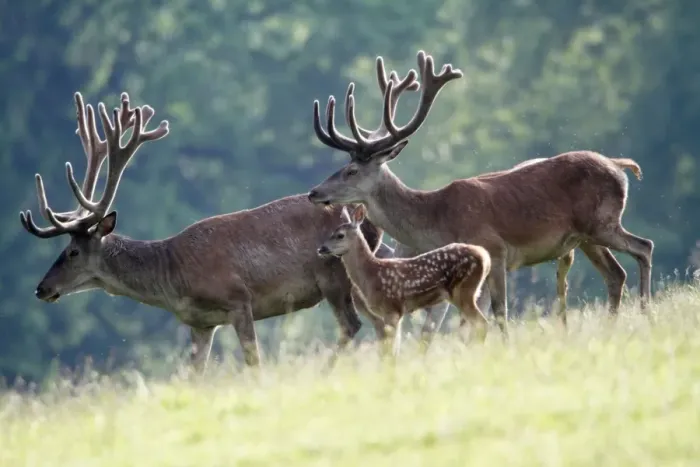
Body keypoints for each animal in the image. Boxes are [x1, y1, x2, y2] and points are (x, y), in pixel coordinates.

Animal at [19, 91, 398, 373]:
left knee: (353, 325)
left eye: (73, 251)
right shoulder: (199, 324)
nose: (41, 288)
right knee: (382, 324)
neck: (173, 278)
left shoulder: (239, 298)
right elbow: (194, 375)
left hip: (334, 274)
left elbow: (254, 362)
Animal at [307, 50, 654, 337]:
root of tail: (618, 166)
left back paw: (645, 312)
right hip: (586, 237)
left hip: (603, 221)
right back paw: (613, 325)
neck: (437, 221)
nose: (313, 192)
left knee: (644, 247)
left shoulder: (495, 249)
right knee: (616, 274)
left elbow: (499, 311)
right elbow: (470, 320)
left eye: (352, 171)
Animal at [318, 204, 491, 358]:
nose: (321, 248)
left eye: (340, 235)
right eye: (332, 232)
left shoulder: (391, 309)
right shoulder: (397, 313)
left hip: (463, 291)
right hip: (471, 292)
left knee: (482, 323)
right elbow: (395, 350)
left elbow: (390, 352)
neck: (371, 274)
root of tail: (484, 256)